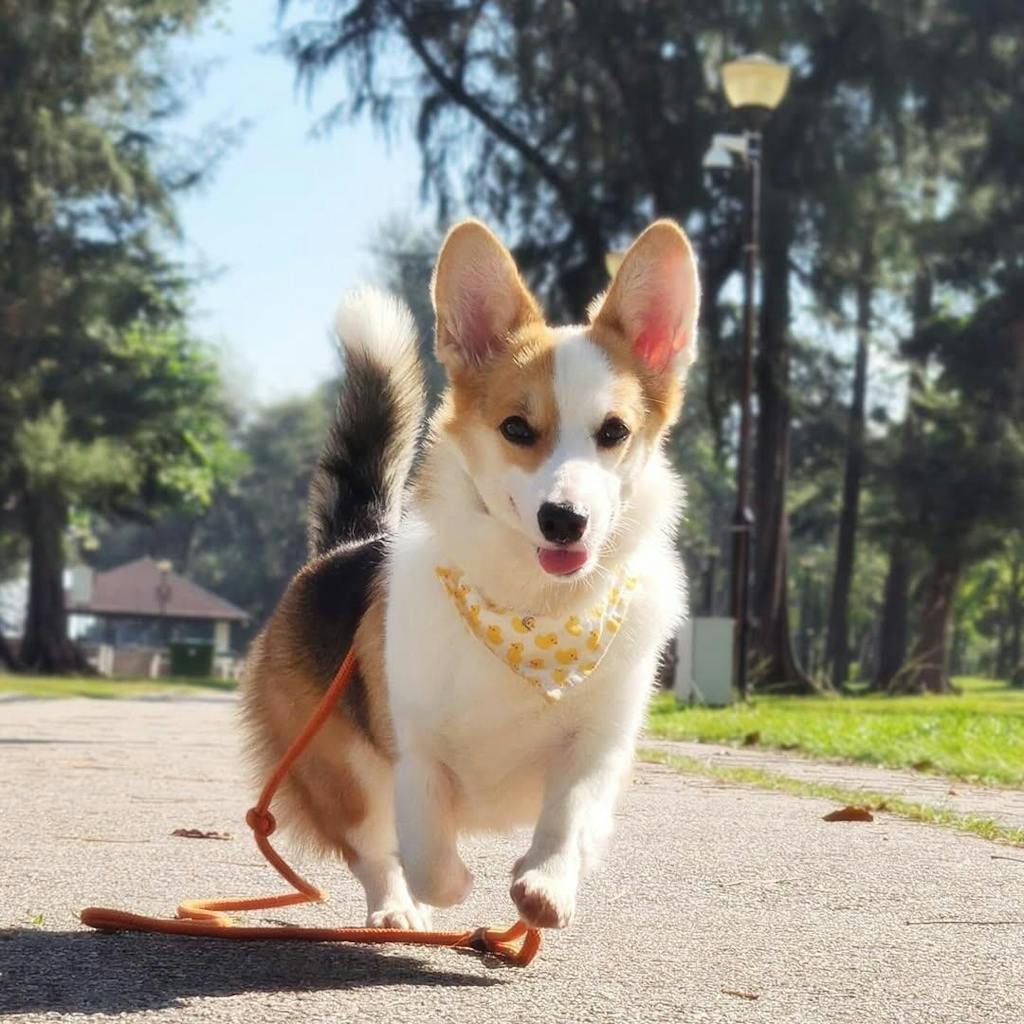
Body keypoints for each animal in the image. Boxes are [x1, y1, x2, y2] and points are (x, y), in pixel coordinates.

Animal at [241, 217, 699, 930]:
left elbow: (568, 819)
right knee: (372, 847)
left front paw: (544, 883)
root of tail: (351, 541)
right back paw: (396, 912)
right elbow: (426, 852)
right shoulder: (415, 756)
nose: (564, 521)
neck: (536, 611)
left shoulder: (597, 747)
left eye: (614, 432)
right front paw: (452, 885)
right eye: (516, 427)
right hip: (338, 766)